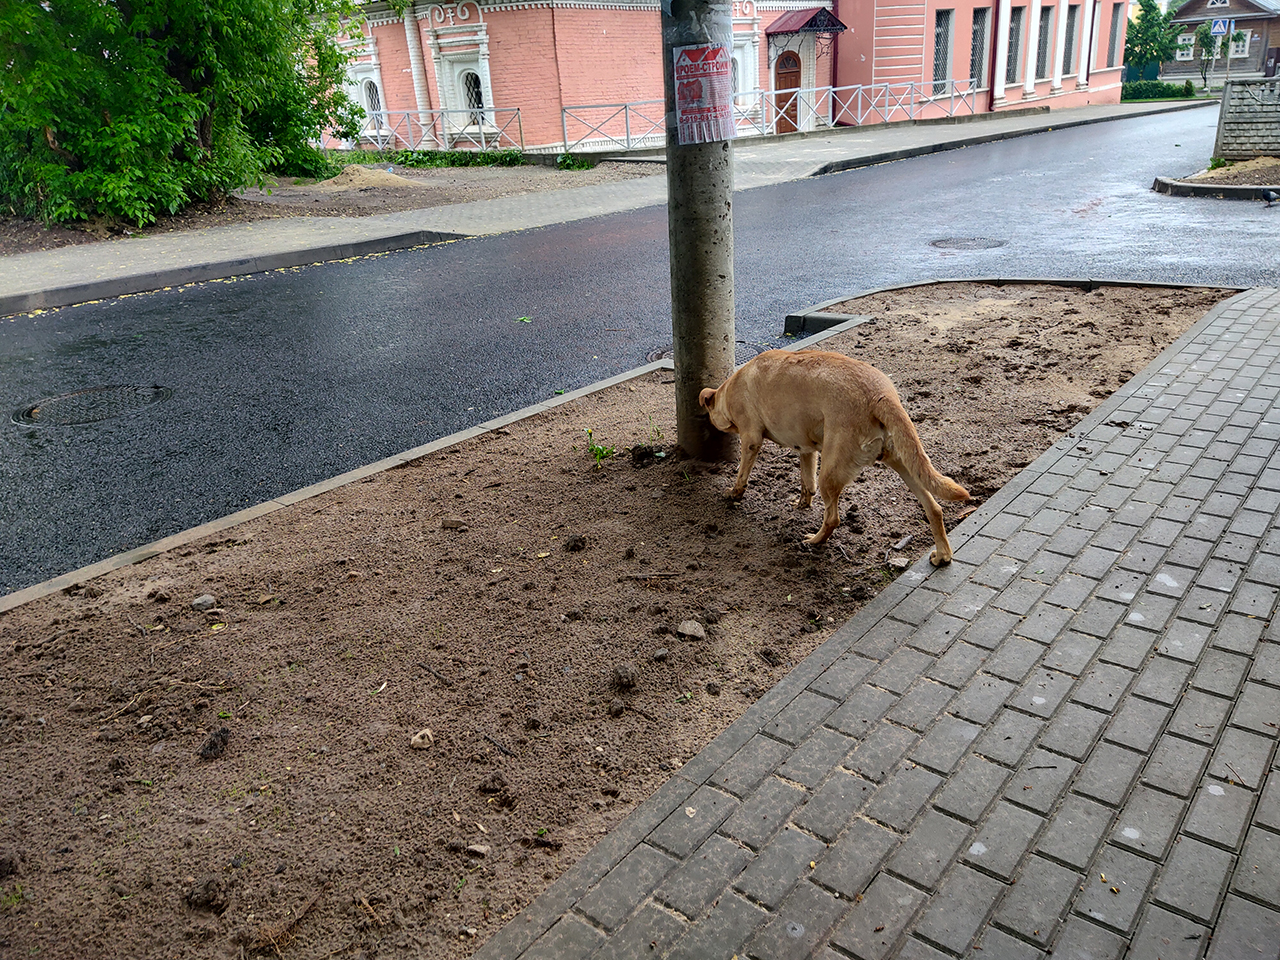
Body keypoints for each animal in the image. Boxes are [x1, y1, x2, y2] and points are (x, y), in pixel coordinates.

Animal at [701, 350, 967, 563]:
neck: (730, 389)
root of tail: (881, 395)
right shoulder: (806, 450)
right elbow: (806, 482)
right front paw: (802, 503)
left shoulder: (751, 440)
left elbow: (742, 475)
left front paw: (734, 493)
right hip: (904, 463)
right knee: (934, 508)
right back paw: (943, 555)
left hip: (830, 474)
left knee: (833, 519)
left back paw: (814, 541)